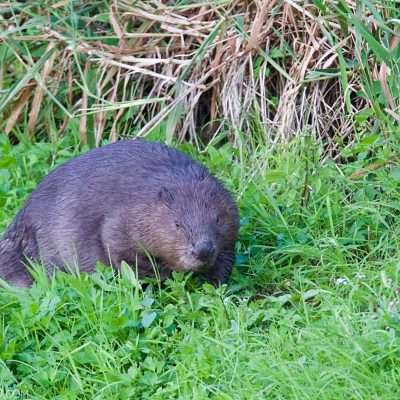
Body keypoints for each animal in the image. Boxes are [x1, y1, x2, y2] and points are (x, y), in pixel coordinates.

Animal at [0, 139, 238, 286]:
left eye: (217, 218)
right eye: (177, 224)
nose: (202, 250)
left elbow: (226, 257)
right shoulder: (119, 223)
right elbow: (124, 255)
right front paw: (162, 274)